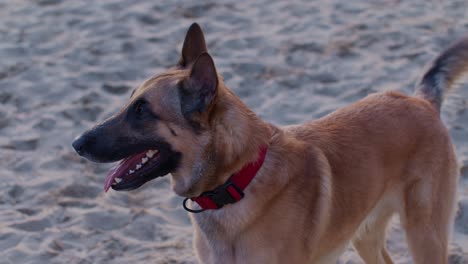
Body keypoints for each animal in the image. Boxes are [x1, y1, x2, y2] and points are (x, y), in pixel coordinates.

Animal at [73, 23, 464, 262]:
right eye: (130, 102)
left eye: (141, 110)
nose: (76, 143)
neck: (234, 182)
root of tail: (421, 101)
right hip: (365, 234)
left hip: (425, 234)